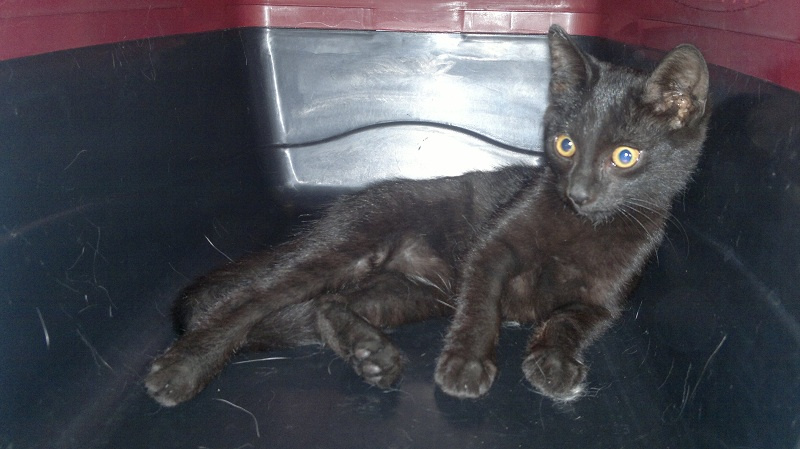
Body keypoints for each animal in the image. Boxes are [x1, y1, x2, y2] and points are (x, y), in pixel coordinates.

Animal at [145, 25, 710, 407]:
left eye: (625, 157)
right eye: (566, 145)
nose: (579, 191)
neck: (583, 228)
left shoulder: (606, 302)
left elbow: (569, 320)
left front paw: (554, 359)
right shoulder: (492, 246)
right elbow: (481, 305)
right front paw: (467, 362)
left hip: (411, 293)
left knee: (324, 304)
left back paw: (369, 352)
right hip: (352, 243)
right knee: (248, 300)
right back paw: (183, 368)